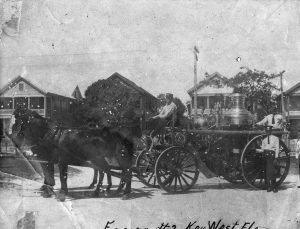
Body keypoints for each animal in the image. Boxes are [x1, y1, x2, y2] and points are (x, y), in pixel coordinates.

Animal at [8, 108, 137, 199]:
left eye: (18, 122)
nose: (11, 137)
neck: (48, 134)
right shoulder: (46, 159)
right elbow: (47, 174)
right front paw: (47, 188)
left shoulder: (61, 160)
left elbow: (61, 176)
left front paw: (60, 192)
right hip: (100, 158)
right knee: (108, 171)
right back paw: (105, 191)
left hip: (121, 156)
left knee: (127, 171)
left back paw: (125, 193)